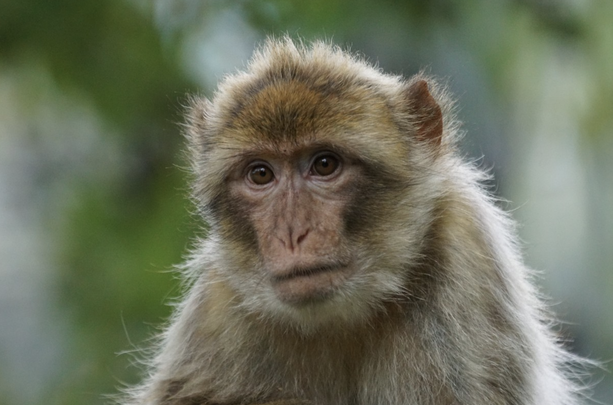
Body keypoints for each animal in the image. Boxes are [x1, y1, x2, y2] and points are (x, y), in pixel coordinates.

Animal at [118, 38, 584, 404]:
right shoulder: (218, 305)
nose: (293, 233)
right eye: (261, 174)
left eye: (325, 164)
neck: (346, 319)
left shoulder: (467, 260)